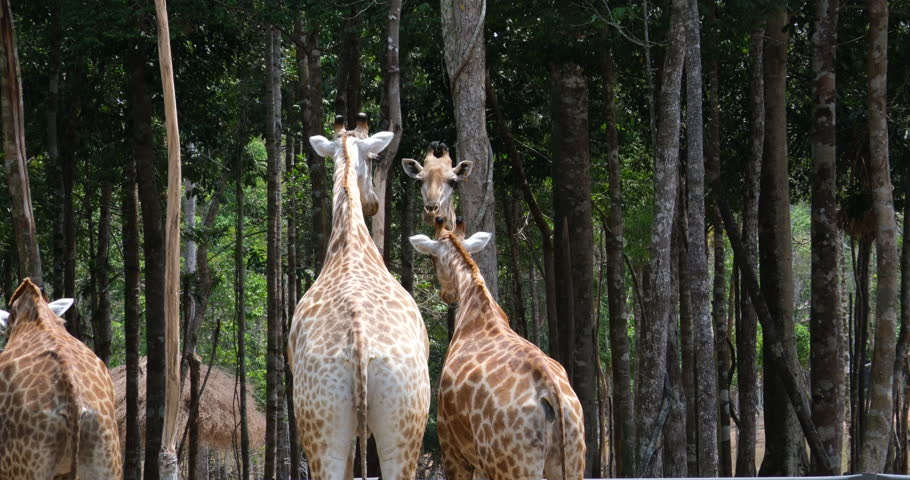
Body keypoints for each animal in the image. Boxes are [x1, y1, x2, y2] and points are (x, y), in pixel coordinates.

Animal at [289, 114, 430, 480]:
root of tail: (360, 342)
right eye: (374, 158)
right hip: (398, 426)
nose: (373, 203)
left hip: (342, 428)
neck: (349, 243)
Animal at [409, 219, 585, 480]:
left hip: (513, 465)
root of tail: (551, 391)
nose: (446, 294)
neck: (476, 310)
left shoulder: (450, 446)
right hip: (572, 459)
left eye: (432, 258)